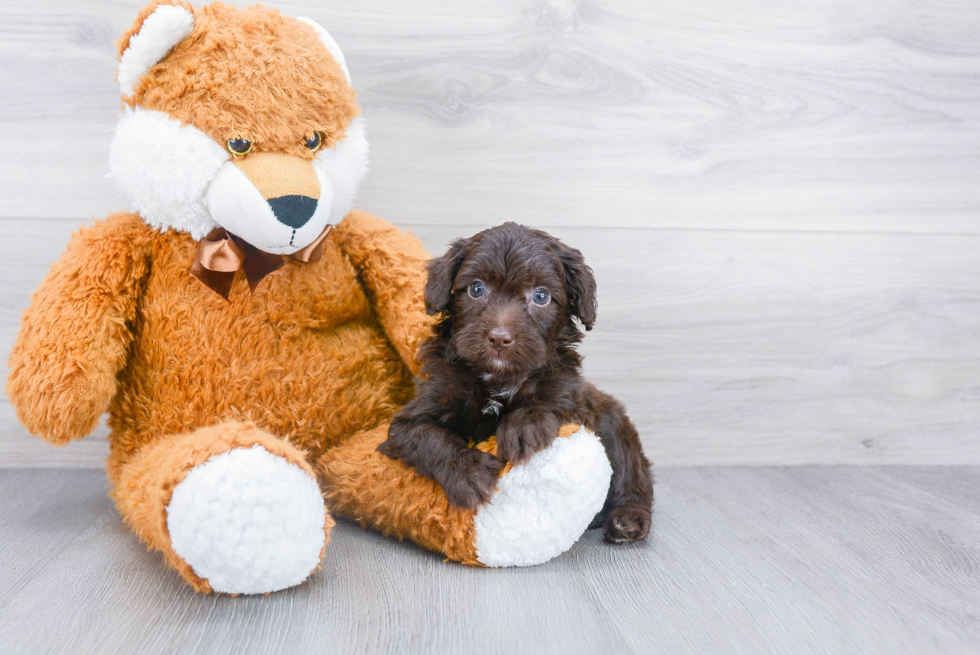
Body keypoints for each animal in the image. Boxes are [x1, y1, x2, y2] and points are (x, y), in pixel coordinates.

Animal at [378, 223, 656, 544]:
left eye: (541, 296)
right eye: (476, 289)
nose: (499, 338)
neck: (499, 378)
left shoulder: (574, 398)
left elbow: (550, 401)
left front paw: (525, 426)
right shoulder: (411, 419)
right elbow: (428, 436)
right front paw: (468, 471)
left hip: (617, 426)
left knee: (634, 477)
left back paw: (627, 520)